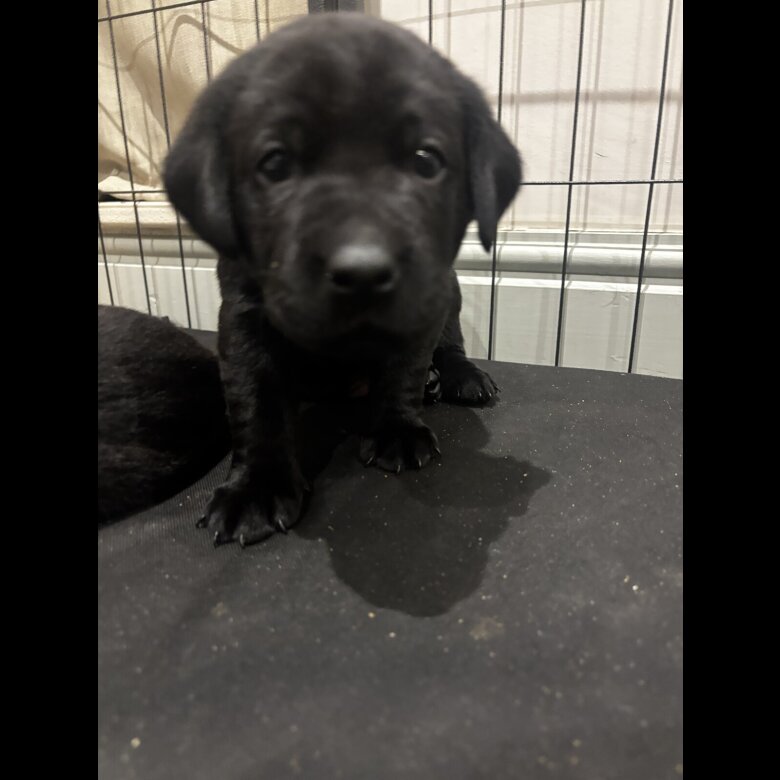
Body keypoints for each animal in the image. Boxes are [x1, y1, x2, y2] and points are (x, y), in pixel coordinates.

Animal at [163, 13, 522, 547]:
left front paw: (397, 428)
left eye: (426, 160)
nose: (364, 272)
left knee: (449, 345)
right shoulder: (245, 317)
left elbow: (403, 369)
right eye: (275, 163)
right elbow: (255, 401)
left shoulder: (420, 308)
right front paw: (256, 488)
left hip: (448, 294)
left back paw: (457, 377)